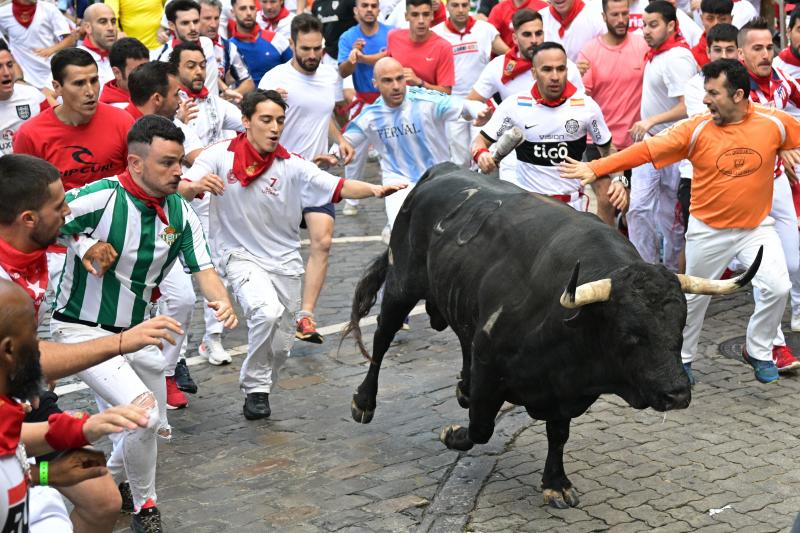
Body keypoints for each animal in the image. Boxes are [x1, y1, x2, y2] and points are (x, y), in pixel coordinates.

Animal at [340, 161, 764, 508]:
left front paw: (555, 483)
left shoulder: (566, 392)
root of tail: (441, 171)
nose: (676, 393)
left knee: (460, 337)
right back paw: (363, 401)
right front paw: (452, 435)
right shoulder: (490, 360)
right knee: (381, 338)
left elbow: (558, 434)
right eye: (630, 334)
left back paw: (461, 387)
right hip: (401, 282)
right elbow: (481, 427)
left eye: (680, 327)